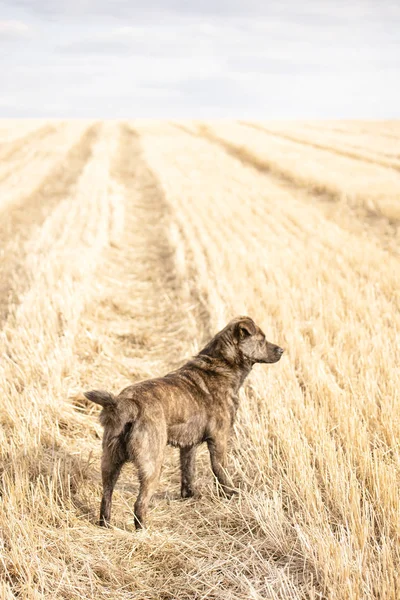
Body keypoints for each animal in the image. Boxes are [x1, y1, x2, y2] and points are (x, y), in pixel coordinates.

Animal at [84, 316, 284, 528]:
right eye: (262, 339)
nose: (281, 350)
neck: (222, 365)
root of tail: (125, 403)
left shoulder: (188, 445)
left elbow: (188, 472)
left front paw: (189, 496)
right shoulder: (219, 439)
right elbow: (220, 470)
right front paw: (230, 495)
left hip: (109, 462)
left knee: (106, 495)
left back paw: (105, 523)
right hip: (152, 463)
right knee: (140, 503)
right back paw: (143, 529)